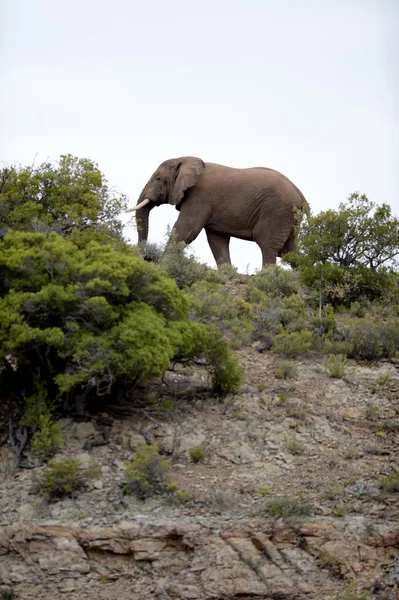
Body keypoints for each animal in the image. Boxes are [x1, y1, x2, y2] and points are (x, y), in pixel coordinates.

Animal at [126, 156, 308, 268]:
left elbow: (186, 230)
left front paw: (163, 263)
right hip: (288, 217)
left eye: (158, 179)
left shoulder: (199, 197)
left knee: (268, 245)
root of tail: (300, 195)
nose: (147, 257)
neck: (184, 159)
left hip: (277, 211)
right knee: (289, 251)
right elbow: (217, 240)